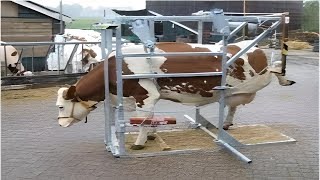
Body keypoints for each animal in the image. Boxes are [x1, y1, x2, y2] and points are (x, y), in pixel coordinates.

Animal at [57, 40, 296, 149]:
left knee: (274, 68)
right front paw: (152, 135)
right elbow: (151, 119)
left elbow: (143, 121)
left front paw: (139, 142)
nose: (60, 124)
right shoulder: (142, 99)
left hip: (259, 78)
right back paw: (227, 123)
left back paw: (285, 76)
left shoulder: (146, 96)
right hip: (237, 90)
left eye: (60, 106)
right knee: (233, 104)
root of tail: (250, 45)